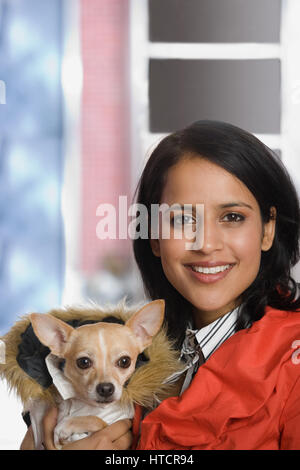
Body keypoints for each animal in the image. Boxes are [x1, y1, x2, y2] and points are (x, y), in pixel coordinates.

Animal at [30, 300, 164, 450]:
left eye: (125, 361)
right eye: (83, 362)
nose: (106, 388)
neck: (85, 404)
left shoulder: (113, 422)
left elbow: (96, 420)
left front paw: (65, 426)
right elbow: (94, 419)